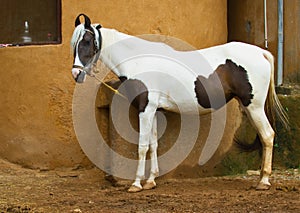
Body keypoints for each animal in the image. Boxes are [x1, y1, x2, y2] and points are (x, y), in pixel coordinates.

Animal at [69, 13, 288, 193]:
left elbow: (142, 146)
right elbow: (153, 145)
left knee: (267, 136)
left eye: (87, 41)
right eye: (74, 44)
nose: (76, 73)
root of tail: (261, 53)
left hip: (254, 107)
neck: (140, 61)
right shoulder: (153, 110)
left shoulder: (145, 109)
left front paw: (136, 184)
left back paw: (264, 181)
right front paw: (150, 181)